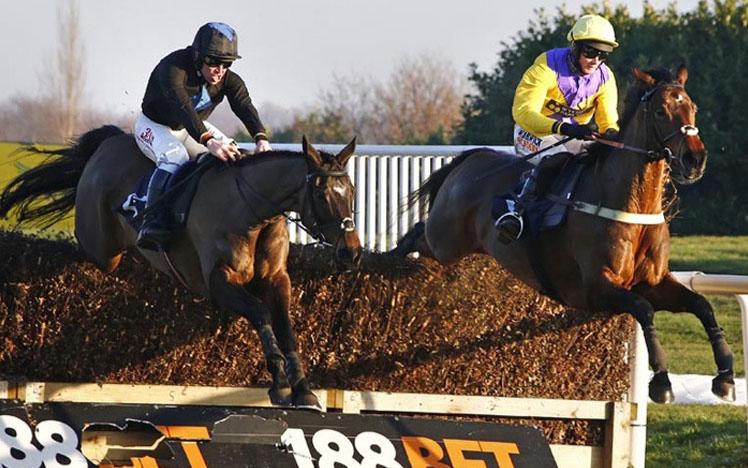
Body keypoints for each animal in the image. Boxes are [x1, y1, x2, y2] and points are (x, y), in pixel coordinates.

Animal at [0, 129, 362, 410]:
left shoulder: (276, 278)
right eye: (321, 193)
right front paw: (280, 384)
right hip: (102, 248)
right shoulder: (218, 281)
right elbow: (261, 313)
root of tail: (109, 142)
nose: (352, 253)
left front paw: (304, 391)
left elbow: (286, 326)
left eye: (352, 192)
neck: (254, 212)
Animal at [392, 66, 736, 406]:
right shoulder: (597, 288)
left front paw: (725, 376)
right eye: (662, 111)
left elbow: (701, 304)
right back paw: (393, 257)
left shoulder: (652, 282)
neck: (629, 204)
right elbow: (644, 309)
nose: (695, 159)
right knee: (418, 234)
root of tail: (470, 159)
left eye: (693, 107)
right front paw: (662, 382)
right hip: (445, 241)